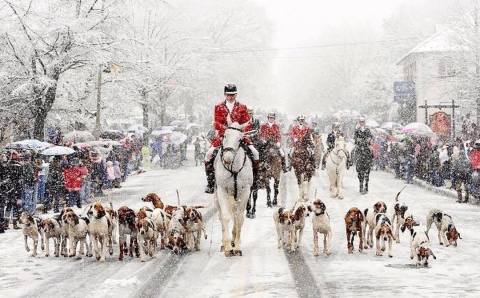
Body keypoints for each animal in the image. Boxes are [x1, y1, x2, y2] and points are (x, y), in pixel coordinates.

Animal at [214, 122, 253, 258]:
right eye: (225, 135)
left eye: (240, 139)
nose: (227, 158)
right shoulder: (222, 191)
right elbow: (226, 217)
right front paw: (227, 248)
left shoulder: (245, 192)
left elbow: (239, 218)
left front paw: (236, 246)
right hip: (217, 197)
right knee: (221, 217)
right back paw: (223, 244)